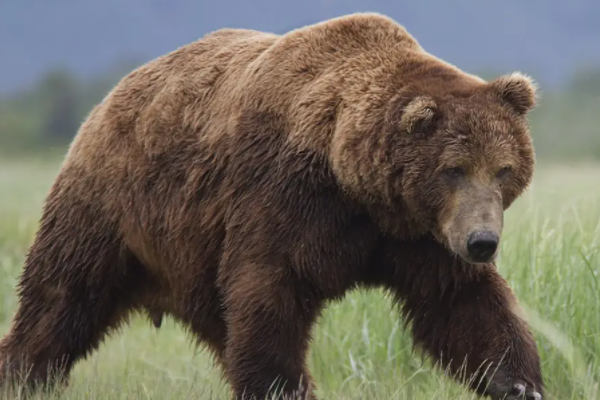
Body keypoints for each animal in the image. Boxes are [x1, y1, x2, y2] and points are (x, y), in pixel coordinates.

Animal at [0, 12, 544, 400]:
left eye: (503, 169)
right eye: (454, 168)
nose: (482, 242)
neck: (355, 183)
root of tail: (108, 98)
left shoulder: (416, 234)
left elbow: (461, 303)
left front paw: (518, 382)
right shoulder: (286, 198)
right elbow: (270, 294)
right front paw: (286, 389)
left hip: (190, 257)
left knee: (218, 326)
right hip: (112, 205)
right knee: (62, 295)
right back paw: (25, 375)